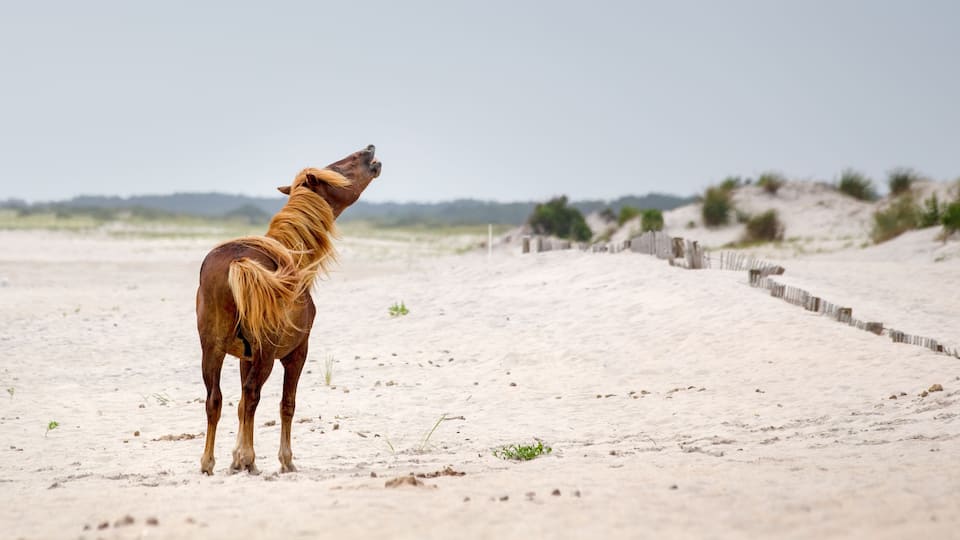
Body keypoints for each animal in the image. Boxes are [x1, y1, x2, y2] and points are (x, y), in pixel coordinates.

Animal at [196, 145, 382, 475]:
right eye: (339, 167)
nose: (369, 149)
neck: (293, 254)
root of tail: (237, 262)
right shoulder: (296, 354)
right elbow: (286, 405)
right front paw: (284, 460)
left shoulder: (244, 357)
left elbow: (239, 405)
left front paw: (234, 459)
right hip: (267, 354)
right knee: (254, 395)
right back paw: (251, 460)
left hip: (212, 350)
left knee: (215, 400)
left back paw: (209, 463)